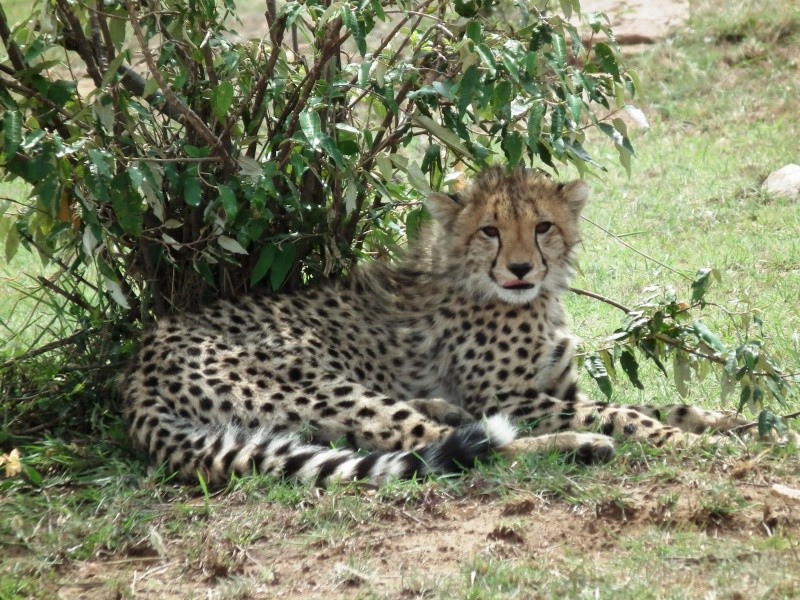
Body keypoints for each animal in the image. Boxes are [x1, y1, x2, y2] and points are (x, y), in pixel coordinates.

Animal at [122, 166, 760, 486]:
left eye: (544, 226)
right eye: (490, 231)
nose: (521, 268)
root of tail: (136, 368)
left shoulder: (557, 389)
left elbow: (657, 403)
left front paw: (731, 421)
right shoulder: (512, 398)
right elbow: (623, 413)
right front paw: (688, 441)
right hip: (319, 380)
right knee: (447, 446)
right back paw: (578, 446)